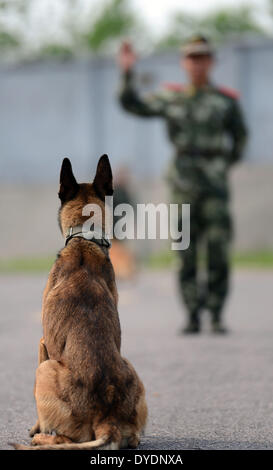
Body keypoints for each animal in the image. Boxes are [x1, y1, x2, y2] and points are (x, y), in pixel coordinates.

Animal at [13, 156, 147, 450]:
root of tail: (106, 419)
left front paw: (35, 428)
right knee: (133, 439)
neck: (85, 239)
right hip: (131, 367)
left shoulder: (43, 343)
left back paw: (41, 438)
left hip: (45, 370)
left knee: (63, 438)